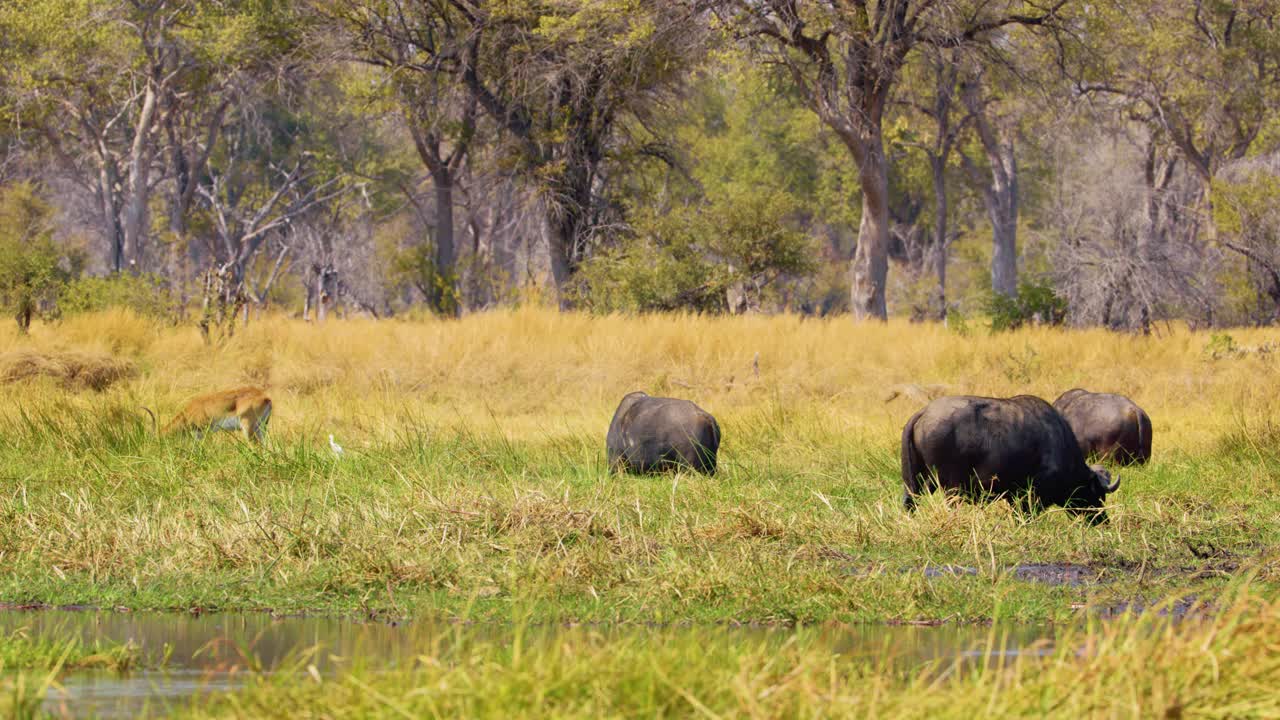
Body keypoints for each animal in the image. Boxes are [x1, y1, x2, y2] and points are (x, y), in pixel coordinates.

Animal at [901, 392, 1121, 520]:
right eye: (1097, 494)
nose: (1102, 520)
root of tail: (924, 412)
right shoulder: (1031, 496)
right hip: (951, 488)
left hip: (917, 481)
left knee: (911, 501)